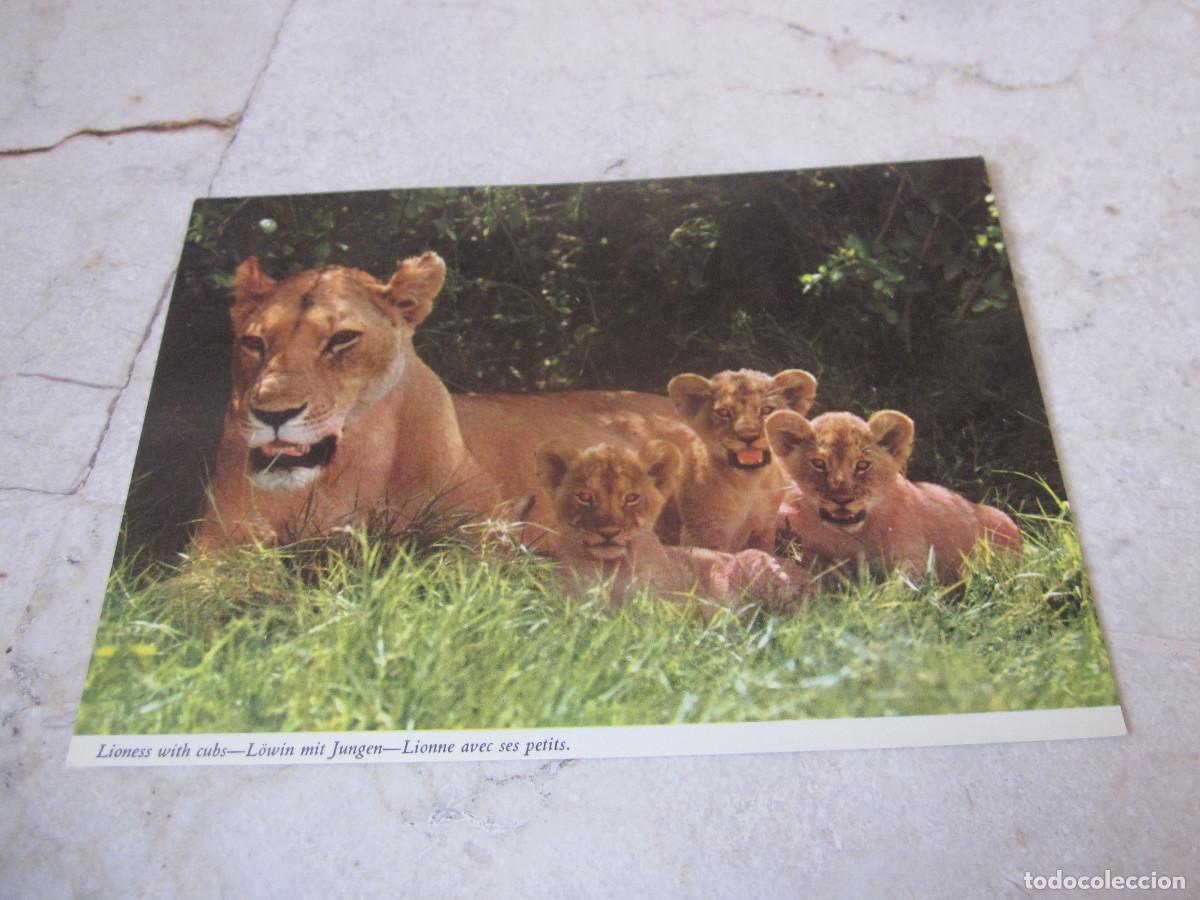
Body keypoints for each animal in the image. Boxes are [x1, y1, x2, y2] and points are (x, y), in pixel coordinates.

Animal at [534, 440, 806, 613]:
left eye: (631, 498)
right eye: (584, 497)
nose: (608, 532)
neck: (610, 569)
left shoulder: (667, 609)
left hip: (754, 562)